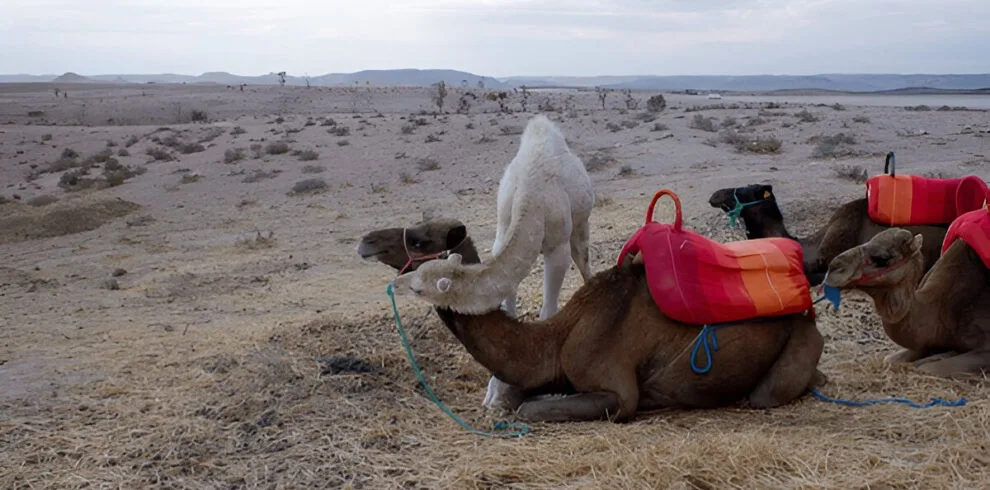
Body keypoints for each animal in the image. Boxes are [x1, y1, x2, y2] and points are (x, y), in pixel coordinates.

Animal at [385, 221, 827, 423]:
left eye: (419, 284)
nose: (396, 282)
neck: (556, 339)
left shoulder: (617, 391)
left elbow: (528, 409)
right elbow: (513, 397)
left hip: (798, 344)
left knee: (769, 392)